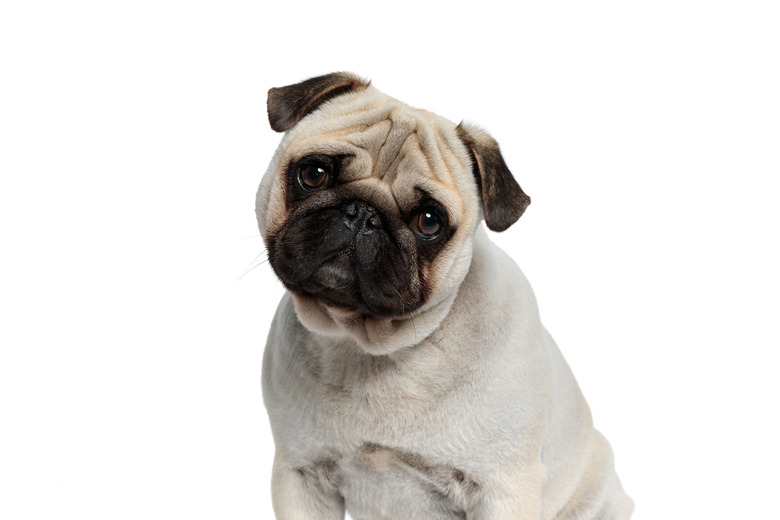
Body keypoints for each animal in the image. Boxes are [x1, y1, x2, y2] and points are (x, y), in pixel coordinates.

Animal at [256, 71, 632, 516]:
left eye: (429, 221)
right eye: (313, 173)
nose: (362, 213)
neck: (374, 348)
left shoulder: (503, 489)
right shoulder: (301, 475)